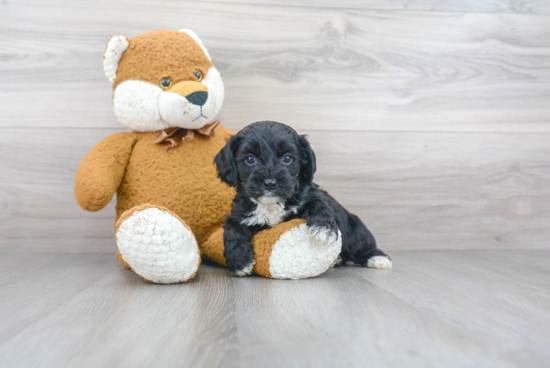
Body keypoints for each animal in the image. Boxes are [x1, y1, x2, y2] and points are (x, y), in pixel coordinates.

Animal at [215, 121, 392, 276]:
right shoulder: (240, 214)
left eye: (287, 158)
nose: (270, 182)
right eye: (250, 159)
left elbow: (319, 203)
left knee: (361, 243)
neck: (272, 205)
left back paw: (378, 258)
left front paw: (324, 229)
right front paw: (240, 262)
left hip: (355, 230)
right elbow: (232, 230)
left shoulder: (312, 194)